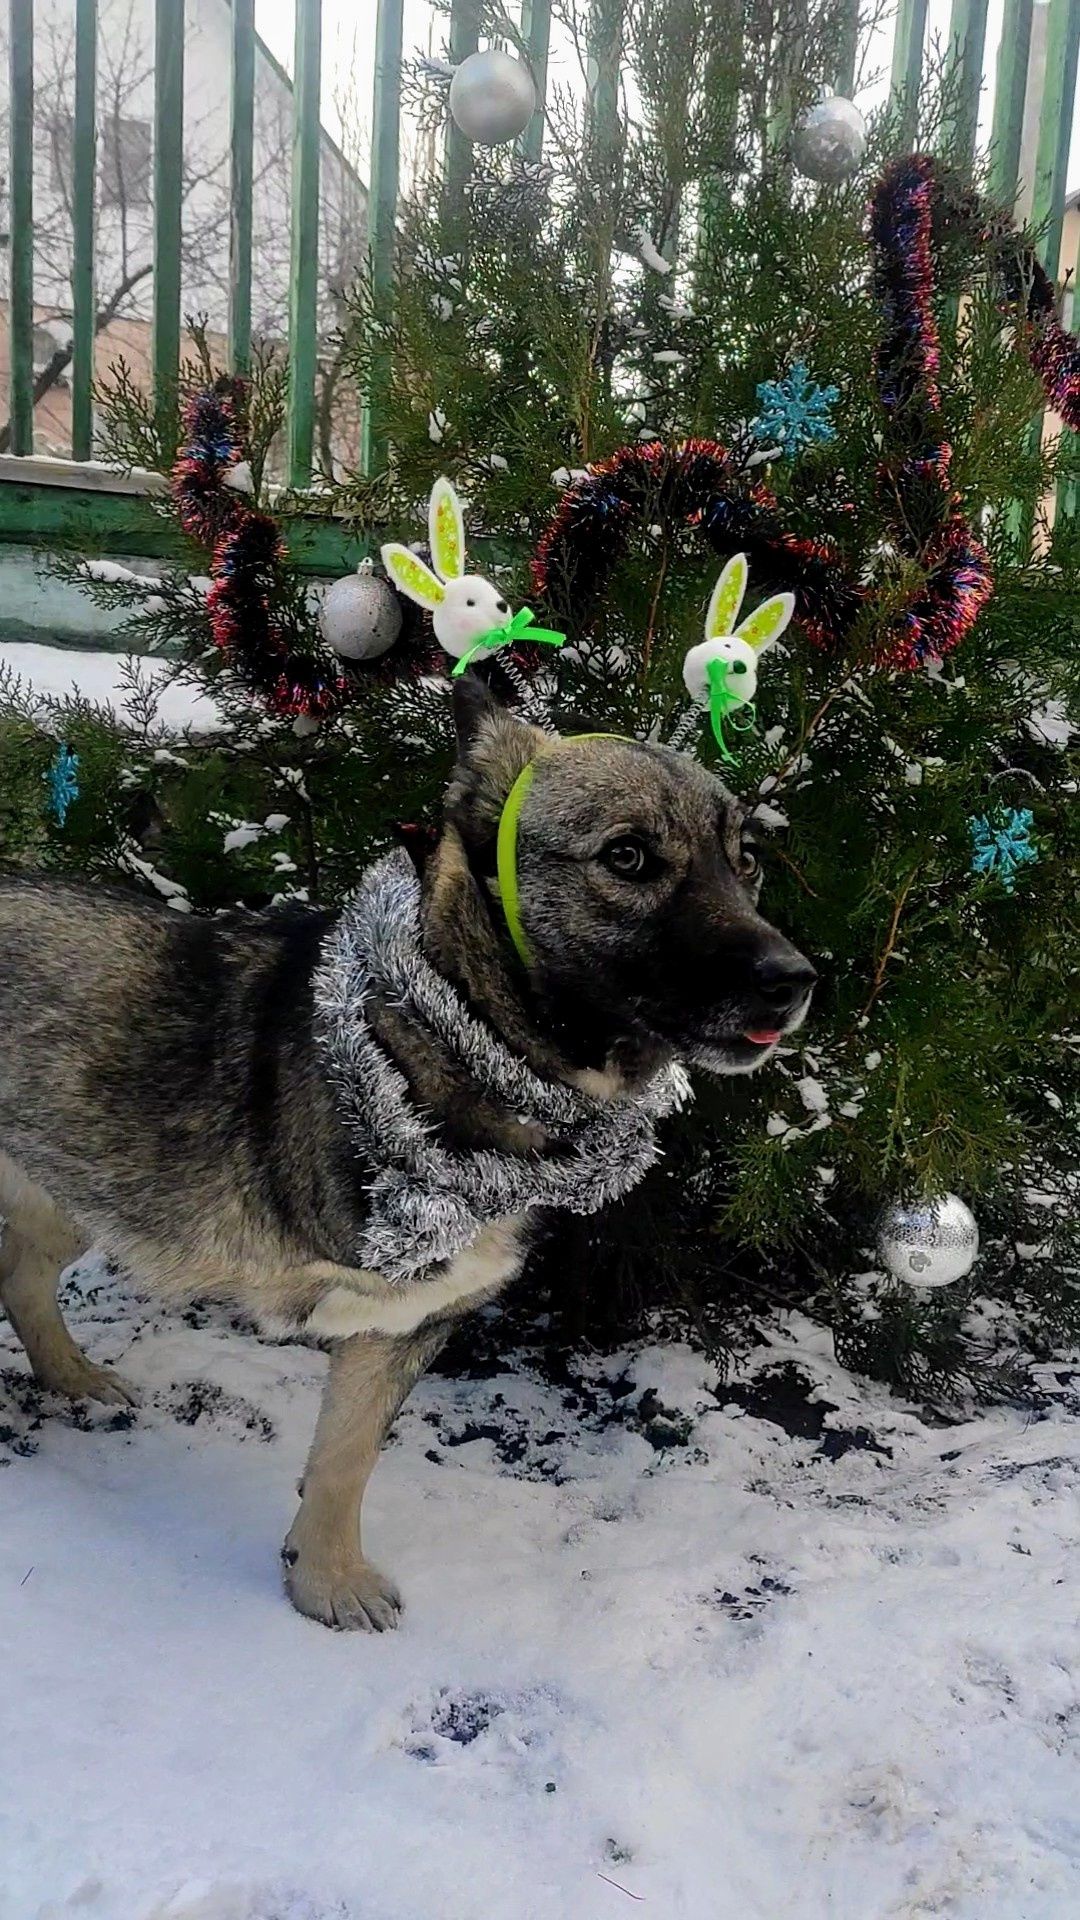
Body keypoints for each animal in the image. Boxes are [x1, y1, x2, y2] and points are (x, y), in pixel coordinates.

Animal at [0, 683, 807, 1628]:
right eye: (630, 856)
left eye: (745, 861)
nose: (795, 981)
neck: (456, 1031)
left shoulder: (404, 1321)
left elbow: (347, 1458)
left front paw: (323, 1574)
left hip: (85, 1181)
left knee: (22, 1274)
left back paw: (70, 1376)